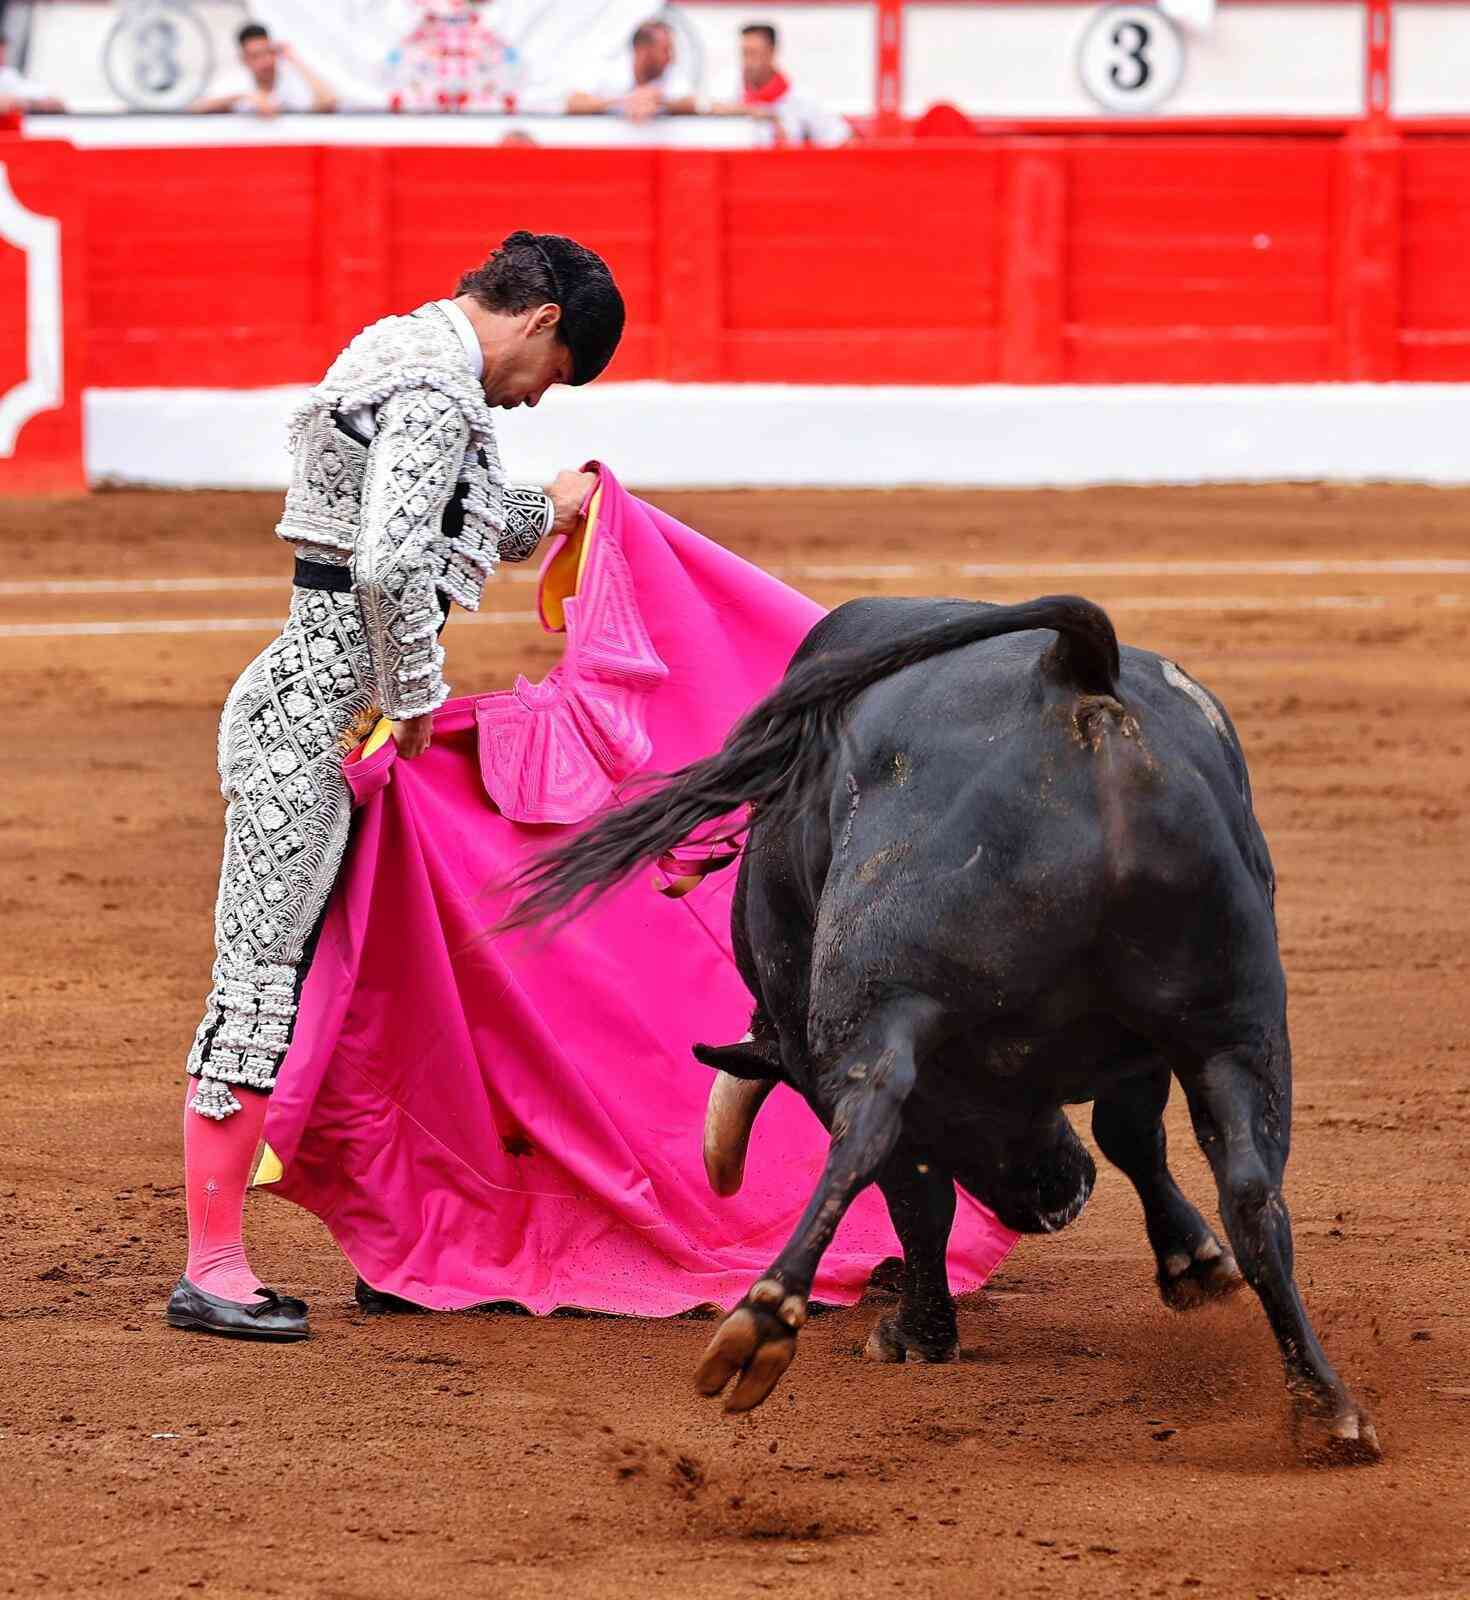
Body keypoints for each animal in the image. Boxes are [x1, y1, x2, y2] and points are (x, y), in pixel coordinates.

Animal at [506, 595, 1379, 1463]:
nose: (1059, 1198)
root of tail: (1071, 670)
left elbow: (926, 1187)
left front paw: (922, 1335)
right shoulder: (1138, 1052)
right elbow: (1132, 1136)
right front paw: (1193, 1262)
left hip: (875, 1003)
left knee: (874, 1141)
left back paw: (770, 1321)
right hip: (1239, 1023)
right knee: (1253, 1192)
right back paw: (1327, 1407)